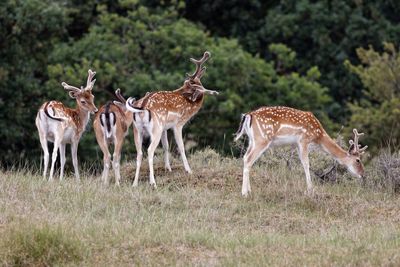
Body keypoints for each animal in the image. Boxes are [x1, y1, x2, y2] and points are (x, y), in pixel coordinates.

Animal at [126, 50, 217, 188]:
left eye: (186, 84)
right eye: (198, 85)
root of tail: (142, 106)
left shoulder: (165, 128)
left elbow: (166, 146)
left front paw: (168, 168)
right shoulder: (178, 124)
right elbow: (181, 146)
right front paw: (188, 170)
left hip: (137, 130)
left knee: (139, 153)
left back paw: (135, 183)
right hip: (156, 128)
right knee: (150, 150)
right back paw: (153, 182)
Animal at [234, 106, 368, 197]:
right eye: (358, 160)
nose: (363, 174)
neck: (318, 136)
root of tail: (248, 115)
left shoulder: (296, 144)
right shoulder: (304, 140)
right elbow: (306, 163)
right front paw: (310, 190)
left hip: (252, 140)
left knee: (246, 158)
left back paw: (249, 190)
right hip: (262, 139)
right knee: (248, 159)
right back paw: (244, 193)